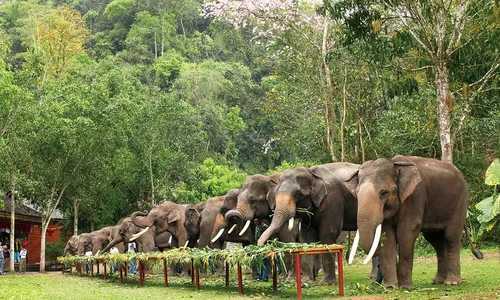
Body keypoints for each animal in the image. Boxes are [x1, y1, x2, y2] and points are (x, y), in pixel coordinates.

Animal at [344, 155, 468, 288]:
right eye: (356, 193)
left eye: (384, 192)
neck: (394, 164)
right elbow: (387, 236)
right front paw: (390, 287)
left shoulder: (415, 196)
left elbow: (406, 232)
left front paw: (405, 287)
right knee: (435, 241)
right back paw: (438, 281)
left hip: (460, 203)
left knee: (451, 237)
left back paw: (452, 282)